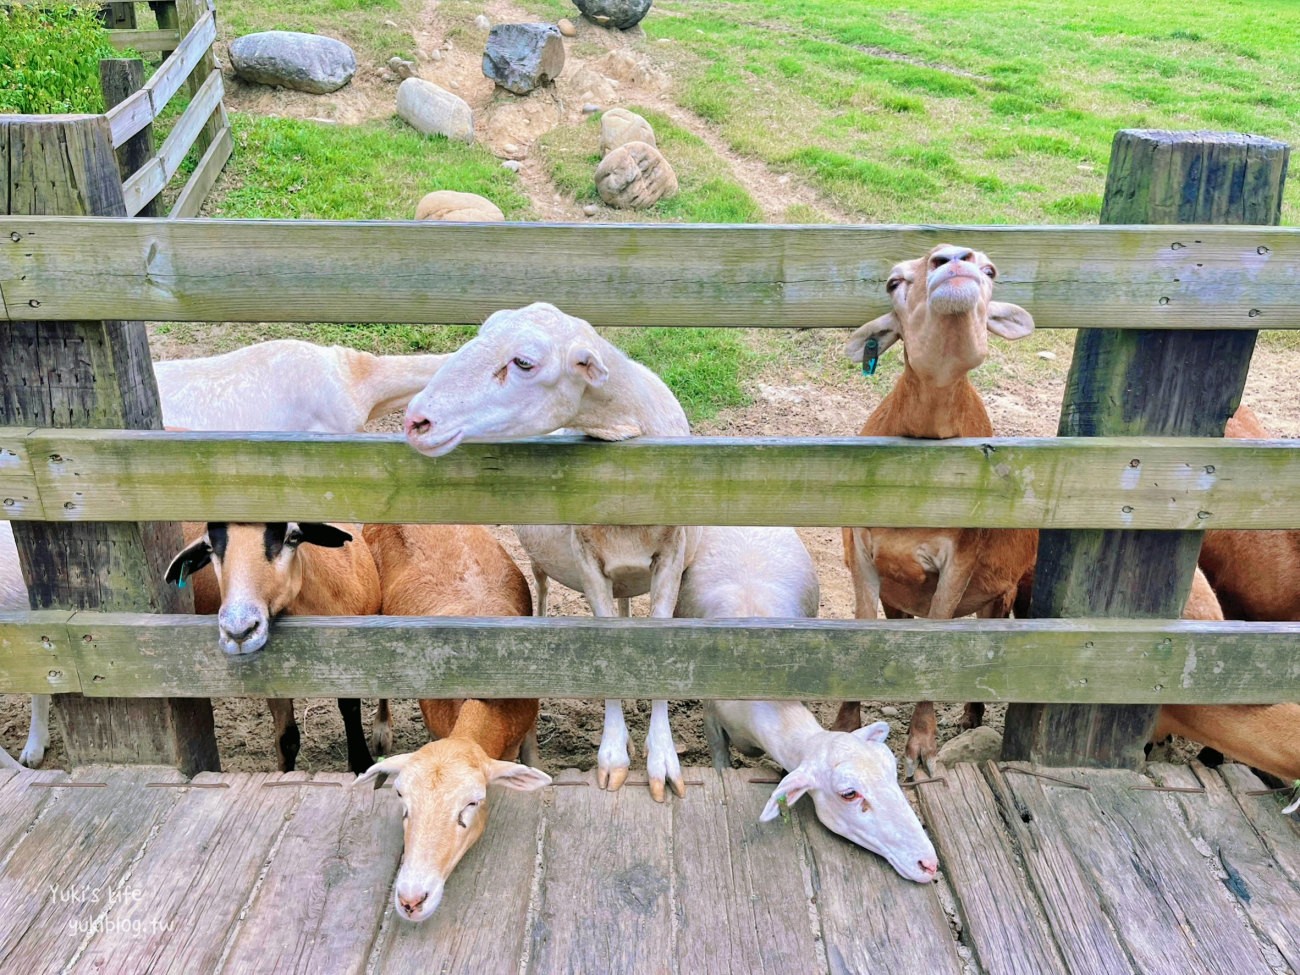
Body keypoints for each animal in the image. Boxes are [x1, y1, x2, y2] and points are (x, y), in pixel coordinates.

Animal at [163, 522, 379, 774]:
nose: (238, 631)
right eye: (208, 546)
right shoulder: (273, 678)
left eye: (293, 536)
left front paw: (362, 763)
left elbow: (350, 708)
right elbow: (287, 739)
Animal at [405, 304, 702, 800]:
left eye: (524, 363)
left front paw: (661, 760)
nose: (415, 421)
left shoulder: (671, 556)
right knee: (545, 594)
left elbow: (656, 646)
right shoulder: (587, 560)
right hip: (541, 563)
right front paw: (613, 757)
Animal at [842, 245, 1034, 780]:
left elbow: (938, 640)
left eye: (990, 270)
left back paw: (971, 716)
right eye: (893, 282)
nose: (954, 257)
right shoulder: (860, 548)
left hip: (1010, 592)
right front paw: (845, 727)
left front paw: (922, 747)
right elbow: (864, 630)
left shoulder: (961, 556)